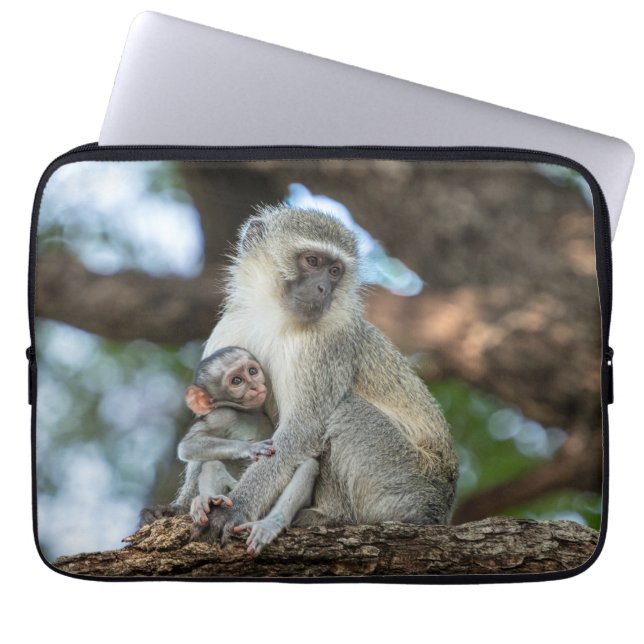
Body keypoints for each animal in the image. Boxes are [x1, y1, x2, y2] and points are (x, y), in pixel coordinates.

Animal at [139, 347, 276, 527]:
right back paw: (208, 501)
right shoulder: (222, 415)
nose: (254, 386)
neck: (248, 413)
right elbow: (188, 446)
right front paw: (250, 448)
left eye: (252, 371)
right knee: (210, 464)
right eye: (237, 381)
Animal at [201, 205, 459, 548]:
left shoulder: (327, 344)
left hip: (405, 482)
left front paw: (236, 508)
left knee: (346, 411)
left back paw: (330, 516)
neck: (275, 316)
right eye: (312, 261)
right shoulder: (230, 329)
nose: (323, 288)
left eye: (335, 271)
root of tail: (441, 509)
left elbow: (304, 430)